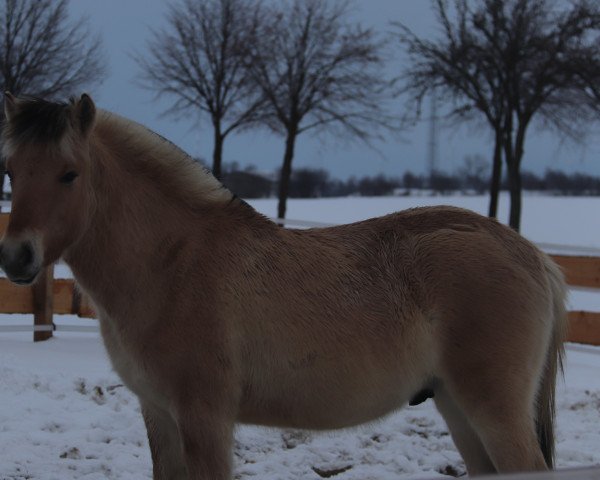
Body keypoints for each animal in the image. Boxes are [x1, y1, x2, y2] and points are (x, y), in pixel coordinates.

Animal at [1, 92, 568, 478]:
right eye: (10, 170)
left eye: (69, 174)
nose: (16, 256)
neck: (172, 263)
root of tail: (533, 256)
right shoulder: (159, 415)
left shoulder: (205, 419)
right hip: (457, 407)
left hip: (494, 411)